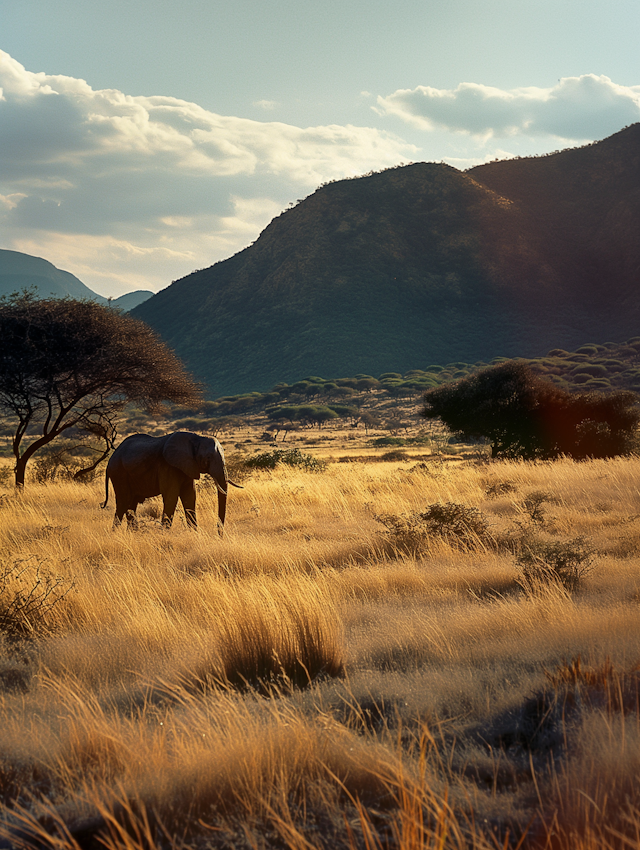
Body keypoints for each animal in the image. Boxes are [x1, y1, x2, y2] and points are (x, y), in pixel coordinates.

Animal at [102, 430, 242, 528]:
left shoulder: (187, 466)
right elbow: (171, 496)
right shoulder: (168, 466)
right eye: (207, 458)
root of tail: (110, 460)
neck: (196, 437)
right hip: (119, 473)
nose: (219, 535)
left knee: (131, 504)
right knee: (123, 503)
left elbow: (190, 496)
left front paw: (195, 534)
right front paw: (164, 535)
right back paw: (116, 534)